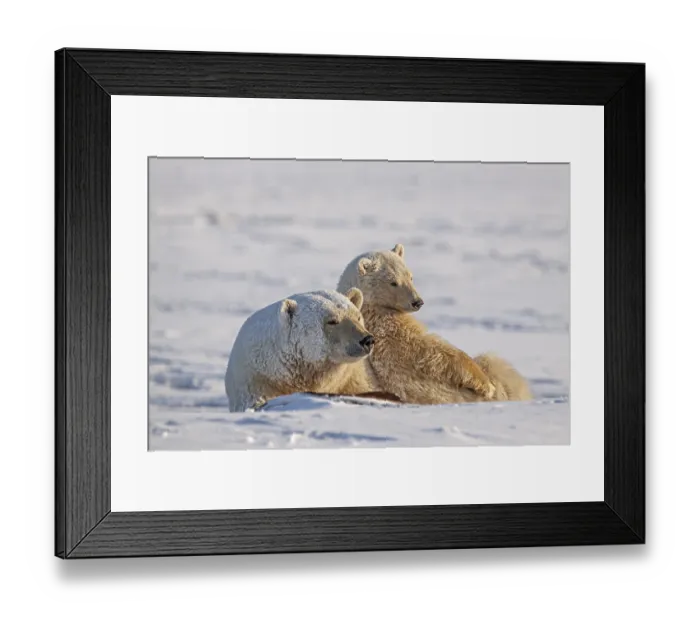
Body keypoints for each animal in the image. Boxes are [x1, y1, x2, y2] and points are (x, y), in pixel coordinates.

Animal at [337, 244, 532, 405]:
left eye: (410, 277)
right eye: (393, 282)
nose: (417, 302)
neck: (372, 306)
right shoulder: (388, 332)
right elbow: (434, 353)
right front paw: (486, 385)